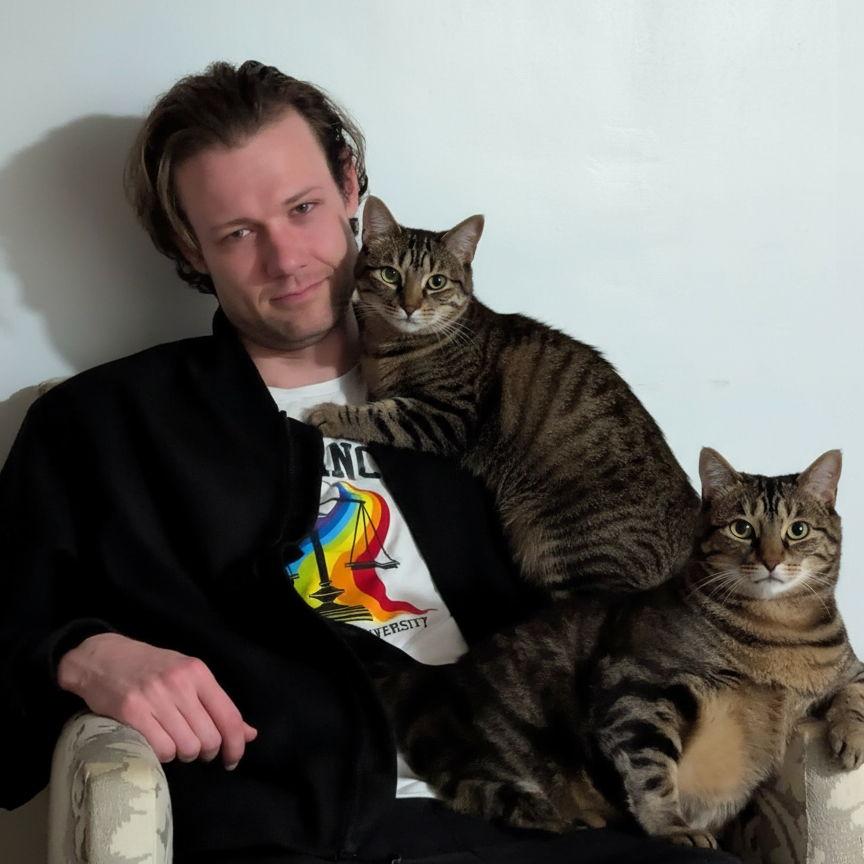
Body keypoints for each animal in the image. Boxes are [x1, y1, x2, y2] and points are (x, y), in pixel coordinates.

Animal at [307, 196, 699, 595]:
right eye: (390, 274)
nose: (410, 306)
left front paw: (328, 413)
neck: (388, 345)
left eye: (436, 282)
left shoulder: (446, 417)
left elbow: (381, 413)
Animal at [370, 448, 864, 848]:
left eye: (797, 530)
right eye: (742, 528)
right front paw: (672, 828)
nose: (771, 560)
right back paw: (569, 819)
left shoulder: (850, 669)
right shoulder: (634, 687)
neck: (779, 629)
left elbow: (854, 693)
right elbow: (651, 773)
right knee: (489, 796)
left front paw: (851, 739)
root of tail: (430, 678)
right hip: (488, 750)